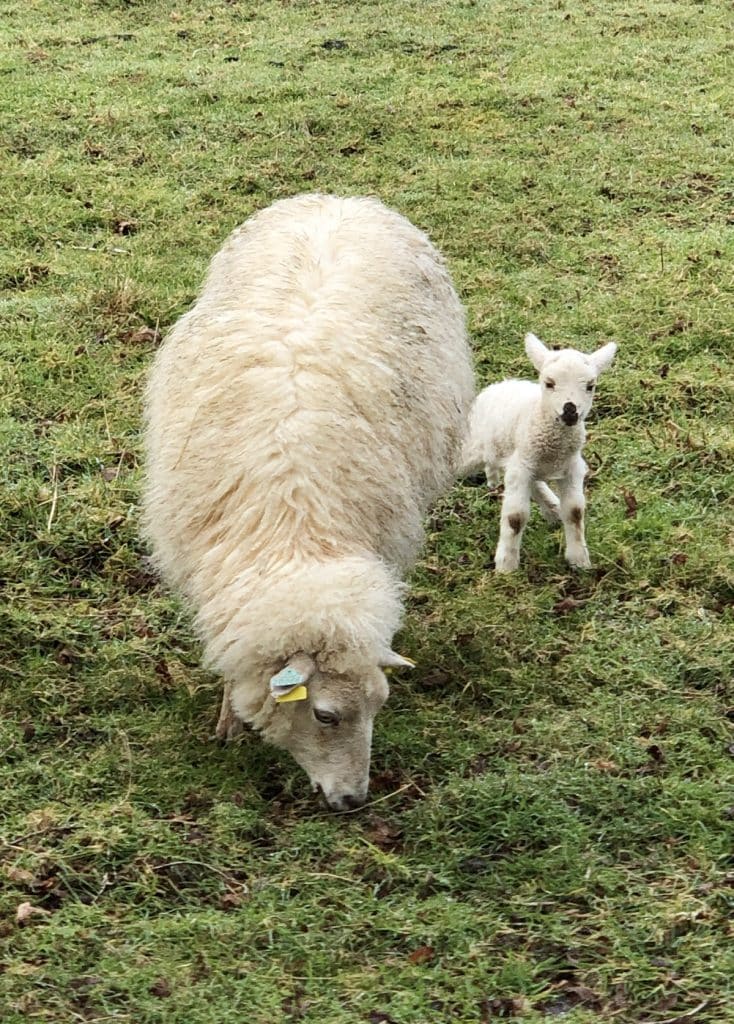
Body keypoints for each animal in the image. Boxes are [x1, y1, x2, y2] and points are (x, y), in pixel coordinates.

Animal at [143, 193, 475, 811]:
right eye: (324, 716)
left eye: (381, 705)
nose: (355, 800)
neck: (296, 535)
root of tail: (342, 200)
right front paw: (228, 720)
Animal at [461, 332, 617, 573]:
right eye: (549, 383)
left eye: (590, 385)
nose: (570, 411)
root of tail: (499, 384)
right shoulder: (522, 466)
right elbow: (515, 517)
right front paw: (506, 566)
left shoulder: (570, 467)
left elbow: (574, 512)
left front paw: (579, 560)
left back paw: (552, 509)